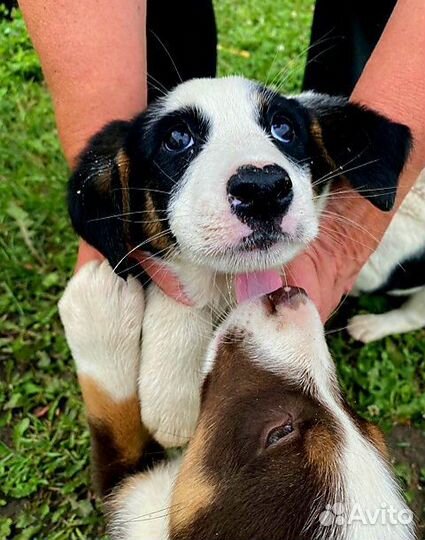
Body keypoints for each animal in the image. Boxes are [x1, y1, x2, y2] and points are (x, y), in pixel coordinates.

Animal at [58, 260, 414, 536]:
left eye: (279, 432)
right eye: (365, 425)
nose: (287, 294)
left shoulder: (135, 498)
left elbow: (114, 428)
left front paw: (96, 309)